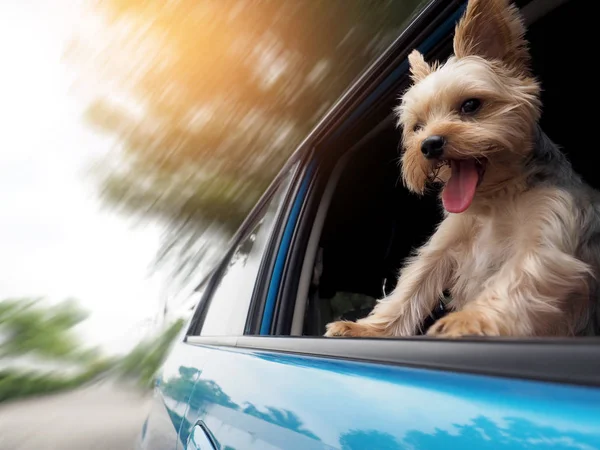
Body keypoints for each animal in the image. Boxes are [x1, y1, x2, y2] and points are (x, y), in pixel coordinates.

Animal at [326, 0, 600, 338]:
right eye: (417, 127)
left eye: (470, 105)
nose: (429, 145)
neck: (497, 197)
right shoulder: (446, 243)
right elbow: (412, 285)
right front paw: (366, 329)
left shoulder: (549, 229)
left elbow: (520, 274)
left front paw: (467, 320)